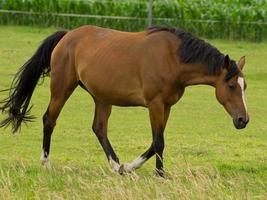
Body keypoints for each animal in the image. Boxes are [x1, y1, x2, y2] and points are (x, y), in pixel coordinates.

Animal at [0, 25, 249, 177]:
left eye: (244, 86)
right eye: (231, 86)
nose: (243, 120)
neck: (173, 57)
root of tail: (67, 35)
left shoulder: (166, 106)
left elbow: (157, 142)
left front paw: (136, 169)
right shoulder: (155, 104)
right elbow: (158, 142)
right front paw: (155, 174)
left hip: (101, 97)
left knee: (99, 128)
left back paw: (115, 165)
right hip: (62, 89)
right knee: (49, 120)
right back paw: (46, 163)